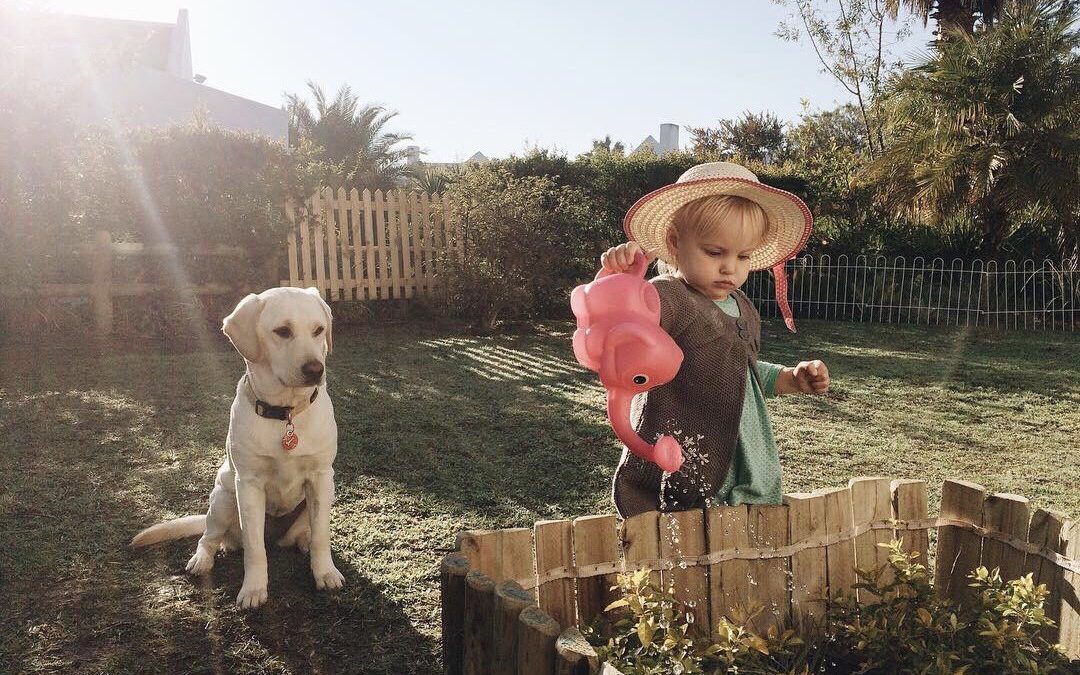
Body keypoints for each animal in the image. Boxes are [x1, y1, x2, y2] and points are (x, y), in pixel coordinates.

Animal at [131, 287, 341, 609]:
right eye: (283, 331)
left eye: (318, 330)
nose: (316, 369)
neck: (286, 413)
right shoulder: (249, 485)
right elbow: (254, 549)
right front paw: (253, 589)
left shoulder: (320, 478)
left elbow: (321, 536)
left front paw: (325, 573)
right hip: (224, 497)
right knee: (209, 537)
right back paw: (201, 560)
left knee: (305, 533)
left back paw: (302, 541)